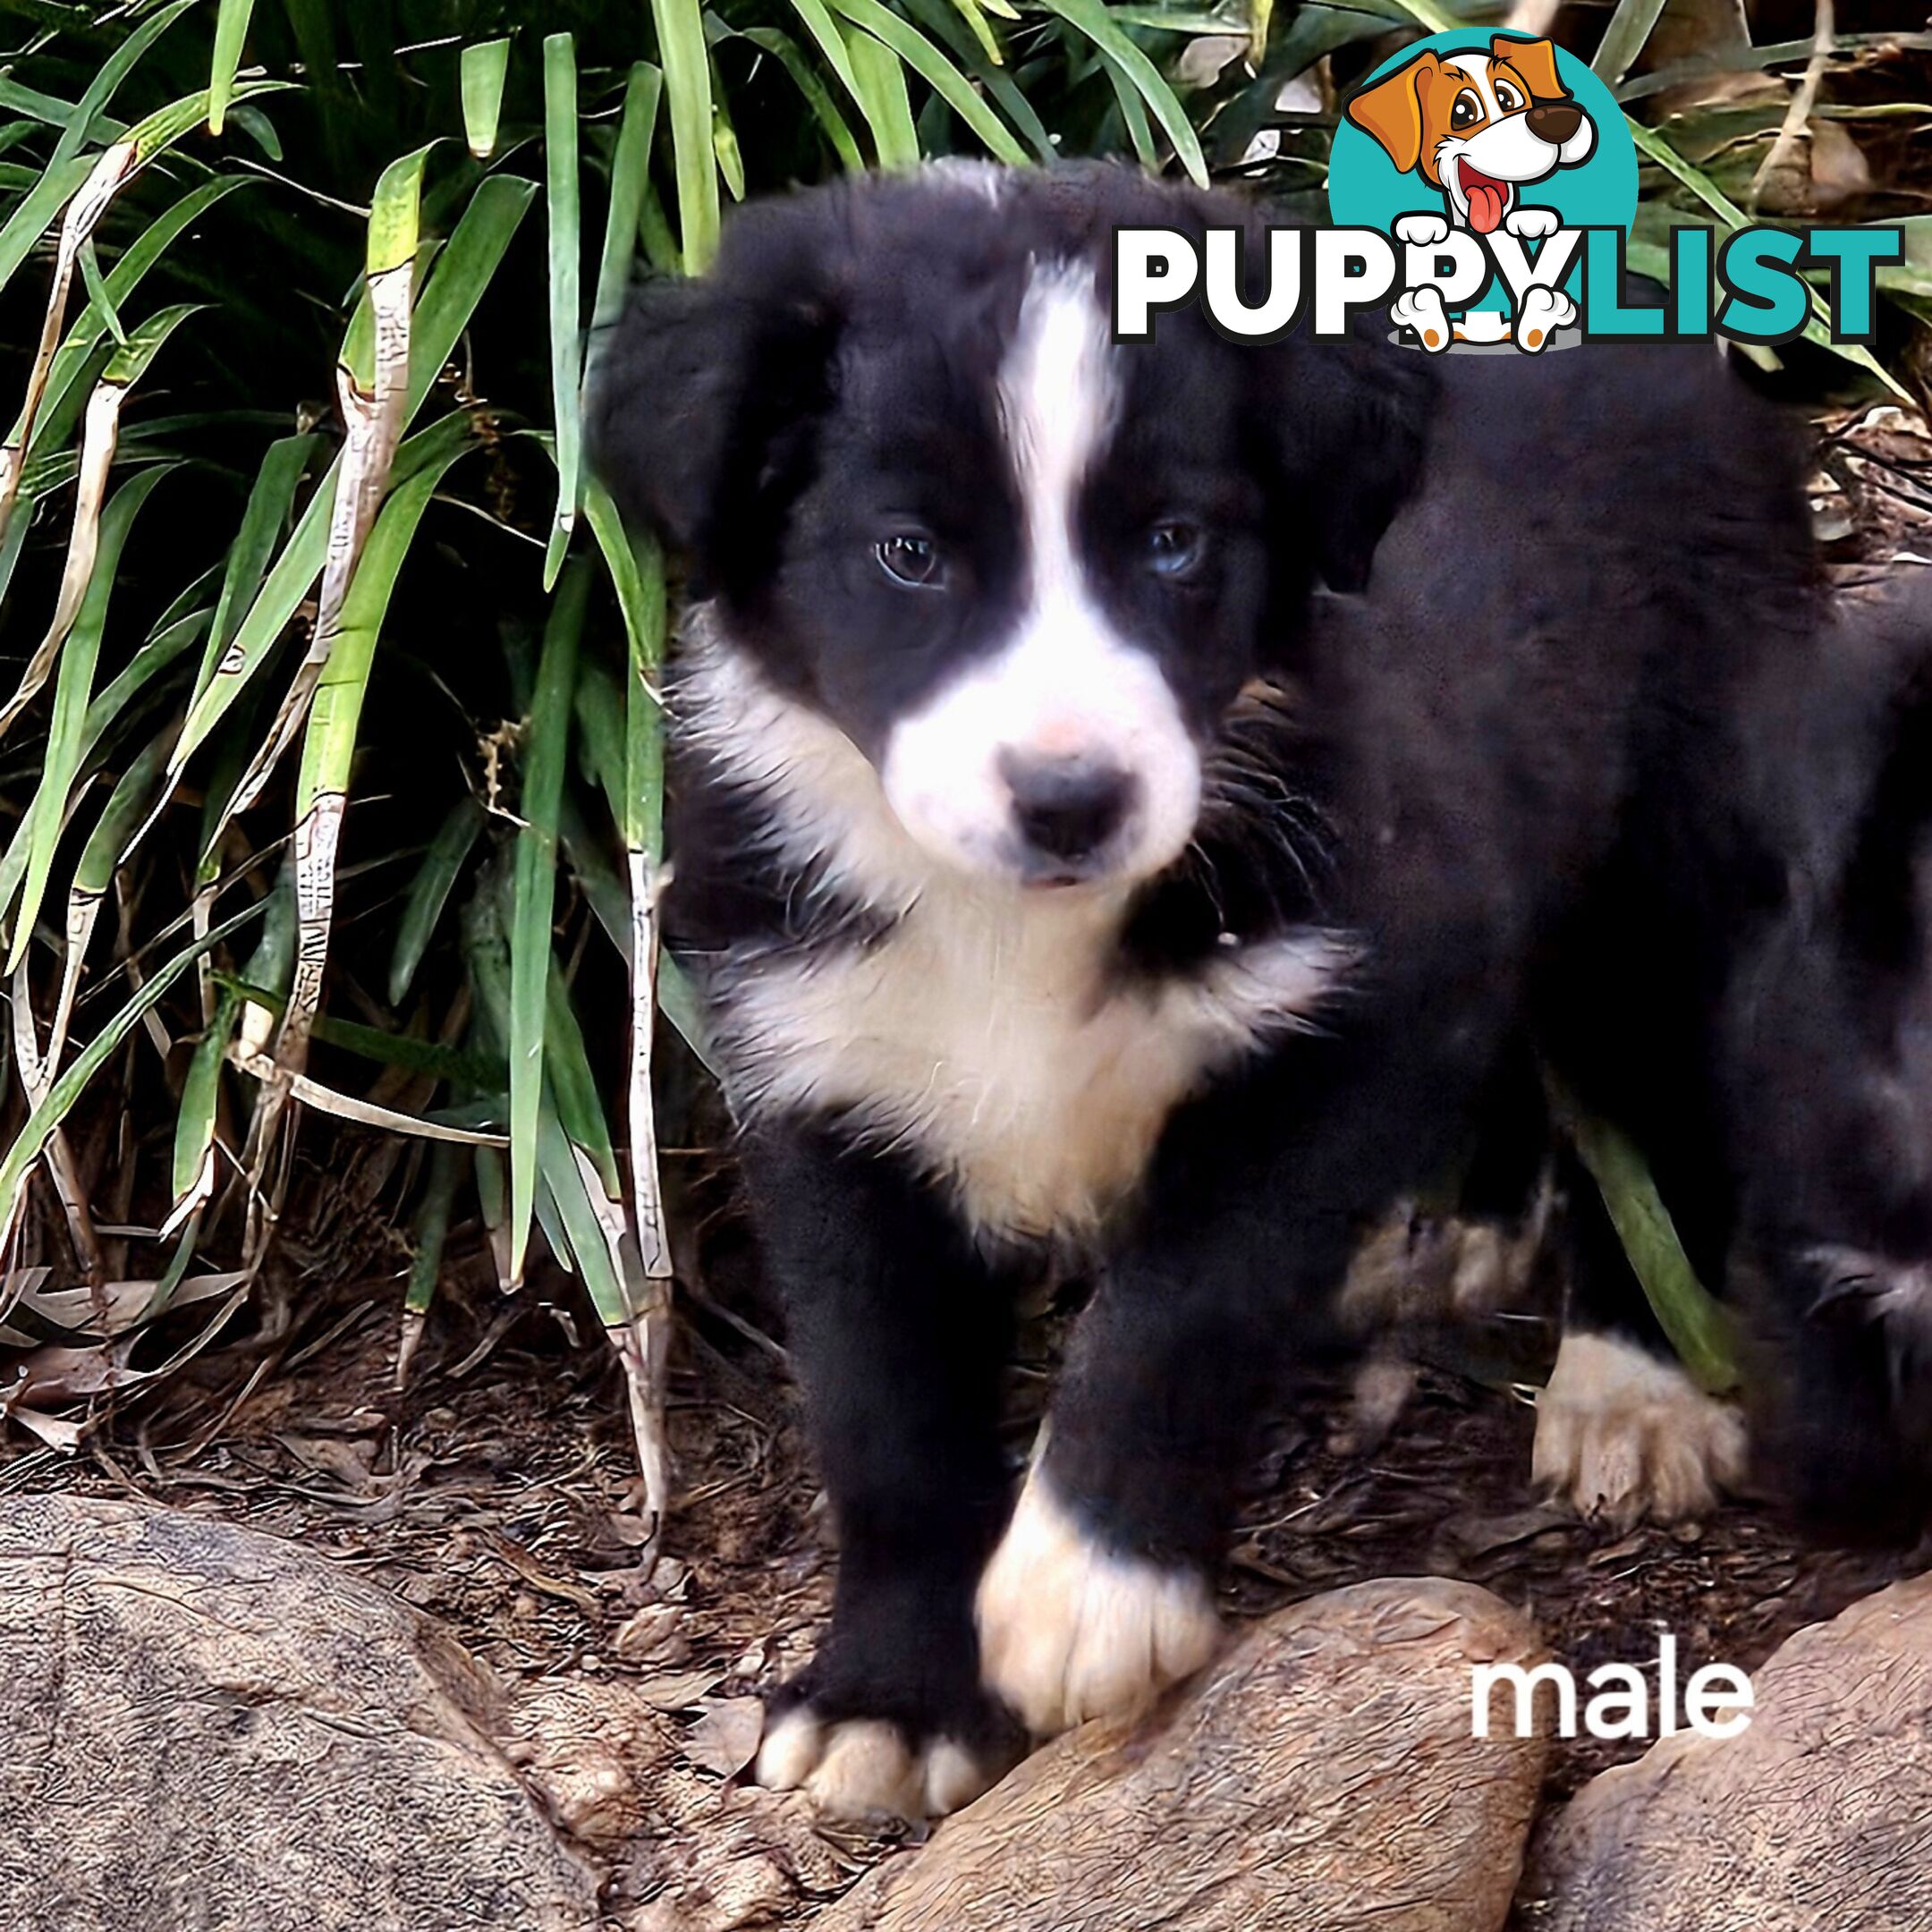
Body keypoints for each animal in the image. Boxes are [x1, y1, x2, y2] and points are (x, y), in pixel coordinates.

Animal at [595, 158, 1816, 1816]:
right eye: (908, 553)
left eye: (1174, 542)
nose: (1071, 800)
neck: (1013, 923)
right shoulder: (825, 1080)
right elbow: (881, 1408)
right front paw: (887, 1696)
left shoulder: (1361, 997)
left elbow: (1181, 1305)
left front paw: (1089, 1590)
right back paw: (1456, 1236)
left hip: (1674, 843)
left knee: (1659, 1089)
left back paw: (1634, 1384)